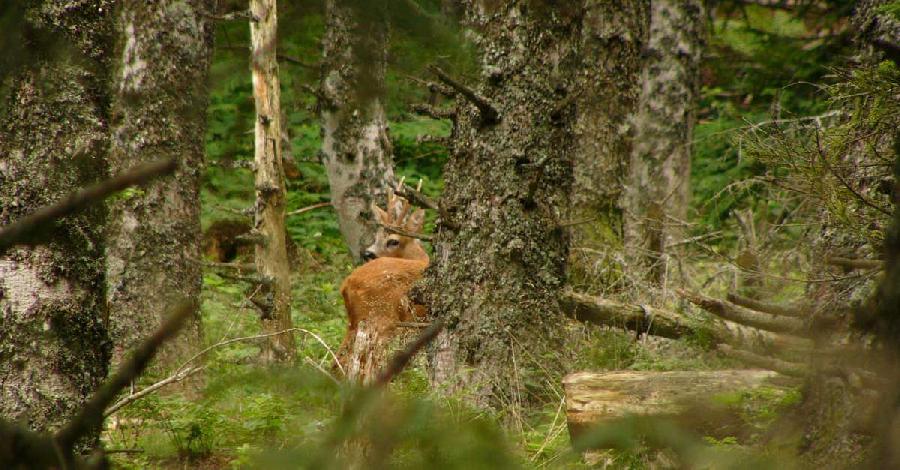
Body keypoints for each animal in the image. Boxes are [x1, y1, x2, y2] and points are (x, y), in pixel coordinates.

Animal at [342, 189, 432, 380]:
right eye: (376, 236)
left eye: (393, 240)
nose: (367, 253)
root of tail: (346, 284)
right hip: (381, 320)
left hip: (355, 323)